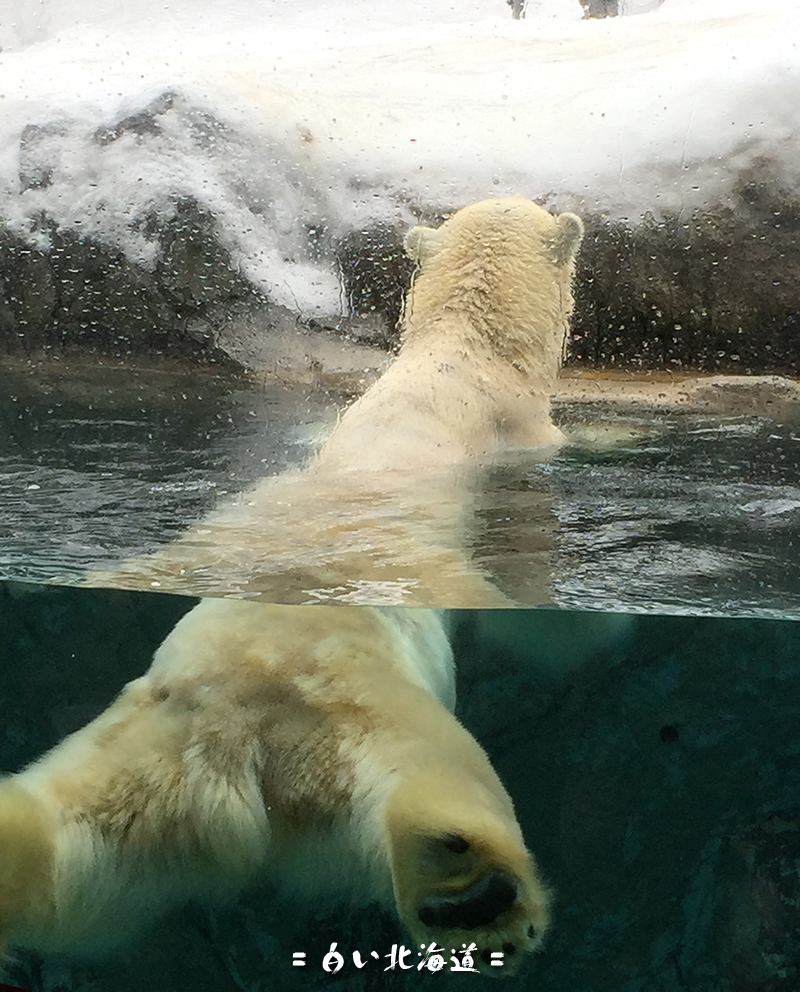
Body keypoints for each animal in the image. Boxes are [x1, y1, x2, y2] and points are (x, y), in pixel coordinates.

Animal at [0, 600, 552, 972]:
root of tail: (232, 736)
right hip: (356, 716)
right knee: (435, 765)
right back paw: (473, 894)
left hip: (144, 769)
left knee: (69, 859)